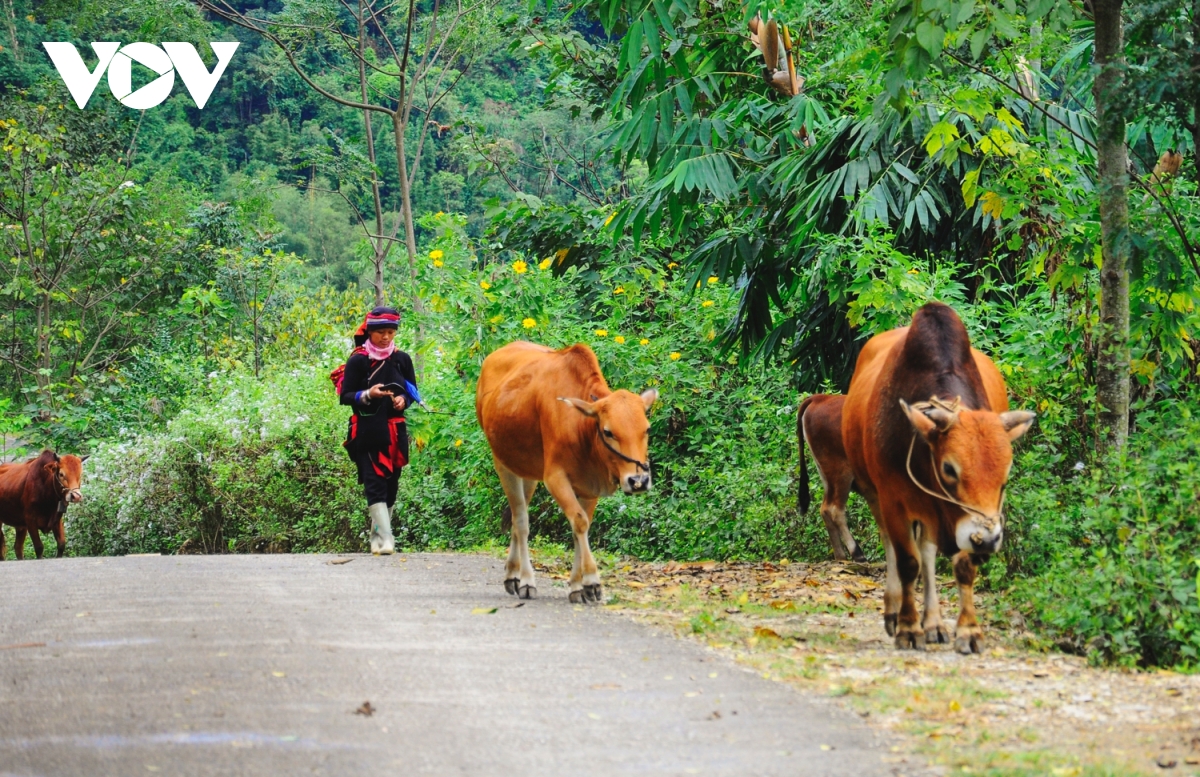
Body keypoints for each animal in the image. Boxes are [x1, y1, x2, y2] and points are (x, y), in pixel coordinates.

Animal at [475, 342, 662, 604]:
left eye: (647, 429)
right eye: (608, 431)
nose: (638, 481)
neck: (581, 428)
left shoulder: (590, 485)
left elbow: (579, 527)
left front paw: (576, 586)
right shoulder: (555, 479)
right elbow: (579, 523)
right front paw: (592, 581)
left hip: (528, 472)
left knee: (516, 518)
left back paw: (512, 575)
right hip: (503, 463)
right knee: (521, 521)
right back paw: (526, 580)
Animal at [796, 398, 864, 561]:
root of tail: (819, 397)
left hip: (827, 475)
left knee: (824, 510)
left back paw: (841, 556)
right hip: (840, 472)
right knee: (833, 509)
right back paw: (857, 553)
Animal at [840, 303, 1036, 647]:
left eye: (1006, 473)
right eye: (948, 468)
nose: (988, 539)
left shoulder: (961, 519)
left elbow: (961, 565)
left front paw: (968, 631)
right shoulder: (893, 500)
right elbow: (907, 562)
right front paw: (907, 628)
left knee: (928, 552)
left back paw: (933, 623)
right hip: (875, 494)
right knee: (894, 547)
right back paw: (895, 613)